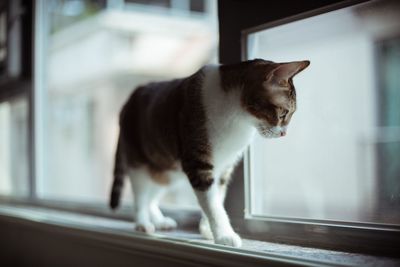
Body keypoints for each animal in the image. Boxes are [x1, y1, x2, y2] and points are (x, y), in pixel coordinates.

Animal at [109, 59, 310, 248]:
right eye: (284, 113)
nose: (284, 134)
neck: (238, 118)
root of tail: (128, 101)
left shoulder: (224, 166)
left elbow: (217, 197)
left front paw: (208, 230)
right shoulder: (198, 161)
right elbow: (212, 203)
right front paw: (224, 235)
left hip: (167, 169)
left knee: (153, 193)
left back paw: (160, 220)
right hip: (139, 161)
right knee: (141, 194)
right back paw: (143, 223)